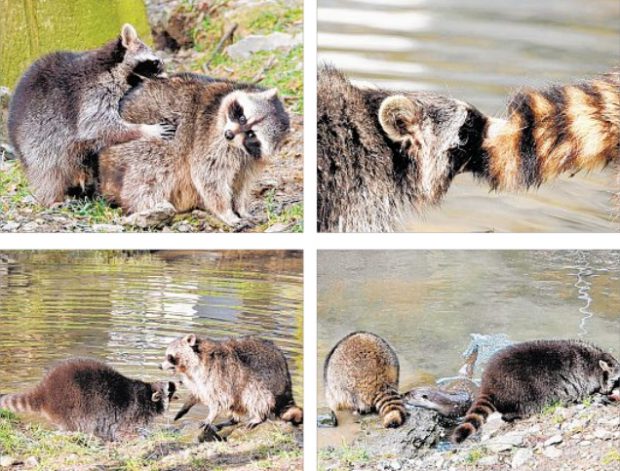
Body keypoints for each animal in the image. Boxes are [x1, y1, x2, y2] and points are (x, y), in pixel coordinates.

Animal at [0, 358, 177, 442]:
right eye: (169, 390)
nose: (175, 383)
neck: (148, 393)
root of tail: (45, 390)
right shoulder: (133, 414)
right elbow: (125, 432)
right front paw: (140, 438)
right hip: (72, 406)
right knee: (79, 424)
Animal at [7, 23, 172, 206]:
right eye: (156, 63)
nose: (168, 78)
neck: (112, 68)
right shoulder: (93, 94)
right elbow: (97, 125)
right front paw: (145, 129)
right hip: (36, 143)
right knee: (48, 173)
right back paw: (53, 199)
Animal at [97, 73, 290, 227]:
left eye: (251, 135)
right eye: (242, 118)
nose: (228, 134)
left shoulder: (252, 159)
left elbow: (241, 181)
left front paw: (241, 207)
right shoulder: (208, 135)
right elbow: (209, 176)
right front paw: (226, 212)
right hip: (133, 149)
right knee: (151, 170)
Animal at [160, 334, 302, 440]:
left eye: (169, 356)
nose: (159, 366)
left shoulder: (219, 374)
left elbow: (219, 399)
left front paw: (210, 416)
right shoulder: (195, 379)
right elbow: (198, 392)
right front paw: (186, 406)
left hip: (261, 381)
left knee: (256, 396)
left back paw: (258, 416)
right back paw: (232, 420)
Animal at [450, 342, 620, 444]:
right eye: (616, 381)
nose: (611, 391)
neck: (596, 361)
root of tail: (490, 383)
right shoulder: (582, 377)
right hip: (524, 390)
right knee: (528, 405)